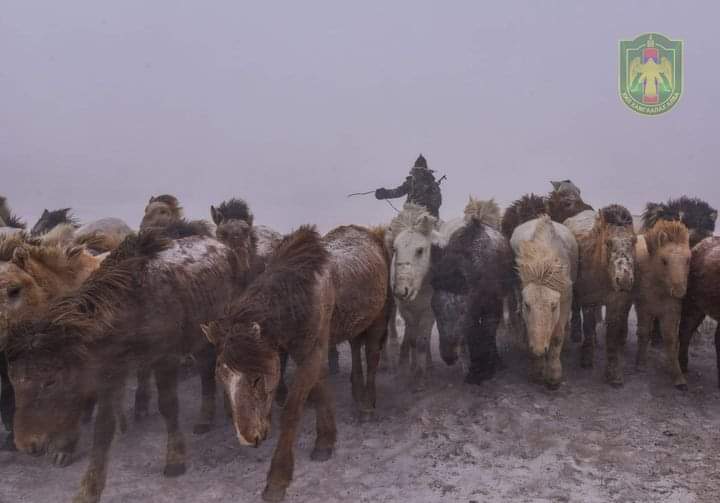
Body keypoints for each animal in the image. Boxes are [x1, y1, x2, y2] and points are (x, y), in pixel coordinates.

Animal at [202, 225, 388, 503]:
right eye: (222, 377)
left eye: (257, 378)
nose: (248, 437)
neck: (299, 296)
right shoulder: (304, 353)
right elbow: (320, 390)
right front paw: (326, 440)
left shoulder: (311, 353)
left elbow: (292, 411)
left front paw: (277, 480)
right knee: (356, 350)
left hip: (378, 320)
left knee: (373, 357)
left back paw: (367, 404)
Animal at [564, 207, 636, 384]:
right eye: (608, 242)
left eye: (634, 241)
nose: (624, 280)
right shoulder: (589, 301)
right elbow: (588, 328)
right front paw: (586, 357)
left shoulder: (616, 304)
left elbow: (612, 337)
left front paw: (613, 373)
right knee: (576, 311)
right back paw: (576, 335)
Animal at [636, 220, 692, 390]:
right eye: (664, 261)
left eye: (688, 260)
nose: (679, 291)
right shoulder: (644, 309)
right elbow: (643, 333)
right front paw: (640, 363)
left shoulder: (671, 312)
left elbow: (670, 339)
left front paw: (678, 376)